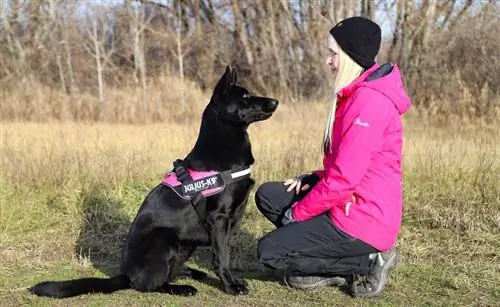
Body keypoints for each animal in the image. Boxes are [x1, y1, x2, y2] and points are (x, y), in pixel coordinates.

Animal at [29, 67, 280, 298]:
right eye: (245, 96)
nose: (275, 101)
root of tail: (126, 275)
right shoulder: (219, 219)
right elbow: (222, 257)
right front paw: (230, 286)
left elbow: (224, 253)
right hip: (165, 239)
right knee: (153, 284)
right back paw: (181, 288)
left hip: (185, 245)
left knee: (171, 272)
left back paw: (192, 274)